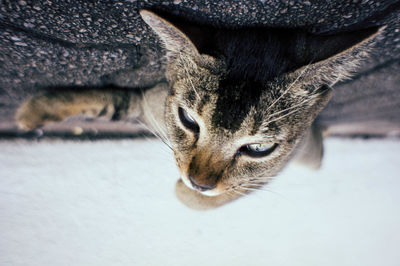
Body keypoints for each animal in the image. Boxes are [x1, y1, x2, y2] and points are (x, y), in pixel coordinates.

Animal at [15, 10, 382, 210]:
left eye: (259, 148)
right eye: (188, 119)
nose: (198, 182)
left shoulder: (268, 172)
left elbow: (204, 198)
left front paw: (186, 193)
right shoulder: (152, 103)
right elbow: (112, 98)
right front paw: (34, 110)